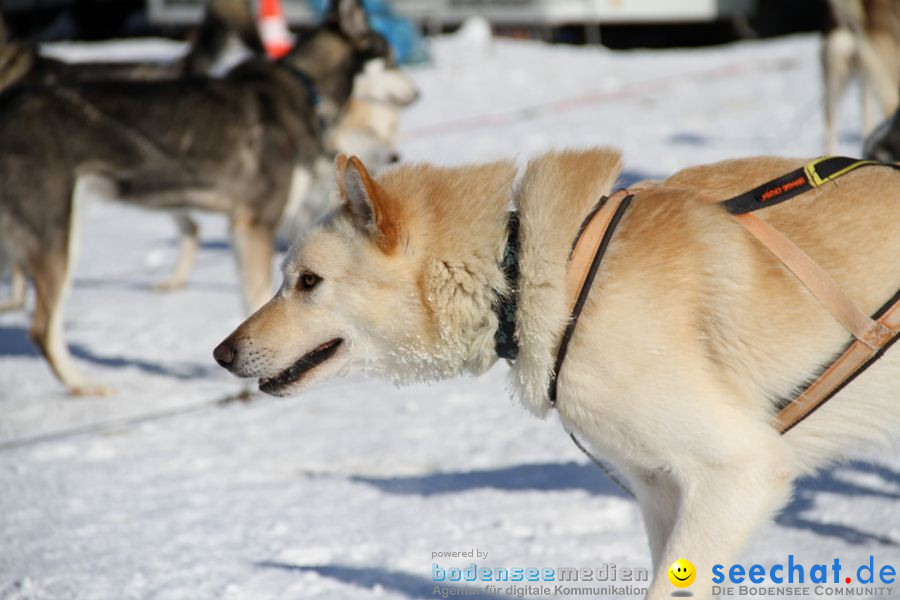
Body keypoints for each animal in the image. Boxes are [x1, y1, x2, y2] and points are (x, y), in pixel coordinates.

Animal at [213, 149, 900, 600]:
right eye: (287, 278)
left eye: (308, 282)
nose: (221, 352)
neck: (524, 274)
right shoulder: (662, 491)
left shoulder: (739, 472)